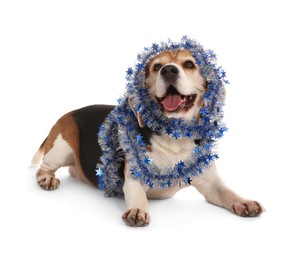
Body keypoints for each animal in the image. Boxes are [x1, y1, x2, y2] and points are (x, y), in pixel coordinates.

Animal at [33, 49, 264, 226]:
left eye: (189, 64)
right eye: (156, 66)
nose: (168, 69)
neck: (175, 136)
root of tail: (71, 111)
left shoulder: (210, 182)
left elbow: (227, 192)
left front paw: (244, 202)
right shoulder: (134, 180)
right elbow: (139, 197)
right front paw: (137, 211)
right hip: (61, 146)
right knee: (44, 167)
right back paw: (47, 179)